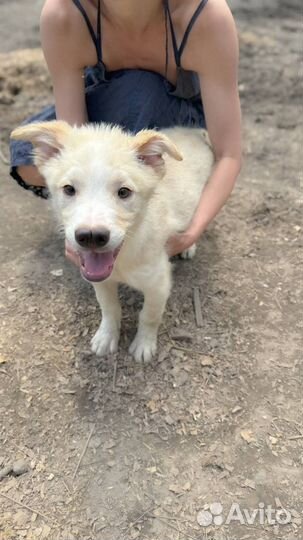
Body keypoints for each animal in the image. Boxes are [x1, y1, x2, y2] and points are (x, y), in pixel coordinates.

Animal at [11, 120, 214, 360]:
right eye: (69, 189)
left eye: (124, 192)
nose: (91, 237)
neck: (124, 258)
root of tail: (192, 131)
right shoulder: (99, 280)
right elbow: (109, 308)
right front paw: (106, 337)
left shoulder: (159, 283)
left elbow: (149, 315)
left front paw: (144, 345)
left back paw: (188, 245)